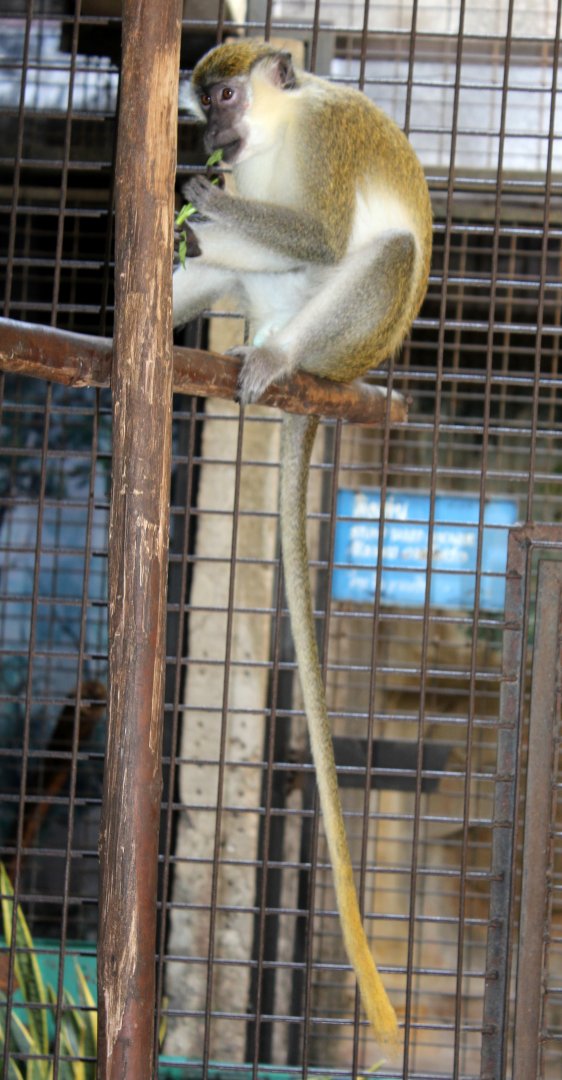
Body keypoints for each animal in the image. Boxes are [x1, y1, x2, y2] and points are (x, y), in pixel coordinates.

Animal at [173, 39, 432, 1047]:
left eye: (225, 96)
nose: (211, 135)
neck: (279, 133)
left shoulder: (324, 144)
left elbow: (322, 235)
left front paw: (195, 190)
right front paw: (188, 206)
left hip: (341, 339)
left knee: (378, 252)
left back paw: (282, 360)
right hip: (260, 299)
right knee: (231, 270)